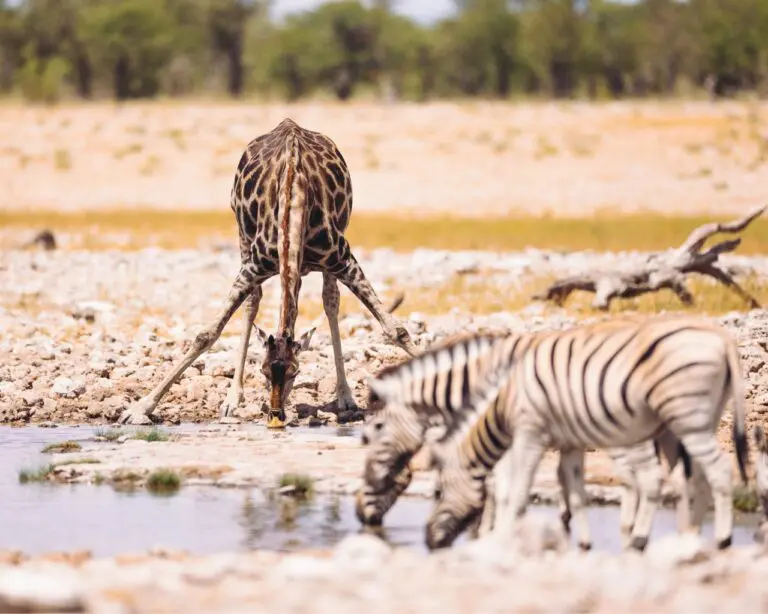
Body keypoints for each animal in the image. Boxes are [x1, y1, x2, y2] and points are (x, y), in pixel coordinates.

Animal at [118, 118, 417, 428]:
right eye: (262, 370)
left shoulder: (343, 259)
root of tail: (288, 122)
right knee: (253, 302)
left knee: (330, 300)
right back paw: (231, 400)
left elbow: (396, 329)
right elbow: (207, 333)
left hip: (335, 243)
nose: (275, 416)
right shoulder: (254, 265)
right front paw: (140, 407)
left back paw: (345, 397)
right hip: (242, 238)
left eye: (296, 371)